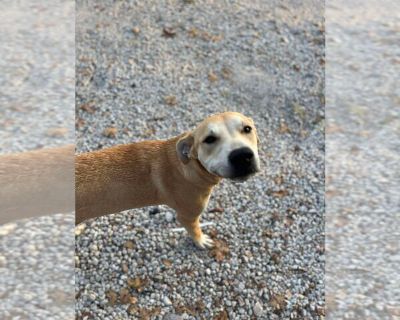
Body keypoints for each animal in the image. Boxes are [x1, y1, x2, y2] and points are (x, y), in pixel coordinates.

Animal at [76, 112, 260, 248]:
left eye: (247, 128)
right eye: (209, 139)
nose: (242, 156)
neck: (189, 166)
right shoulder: (187, 216)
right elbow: (195, 230)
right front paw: (201, 241)